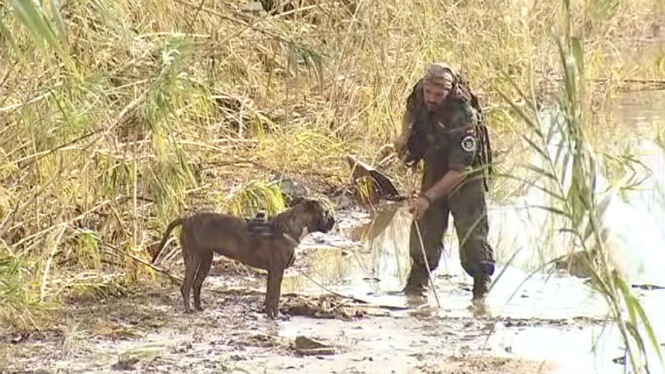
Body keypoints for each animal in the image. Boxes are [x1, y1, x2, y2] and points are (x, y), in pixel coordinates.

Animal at [148, 196, 334, 318]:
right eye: (326, 212)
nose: (333, 220)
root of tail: (186, 219)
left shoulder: (272, 273)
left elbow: (269, 296)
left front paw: (269, 315)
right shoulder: (277, 271)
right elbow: (275, 296)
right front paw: (277, 316)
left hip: (206, 260)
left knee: (196, 285)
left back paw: (199, 307)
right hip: (193, 259)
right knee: (186, 286)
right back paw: (188, 310)